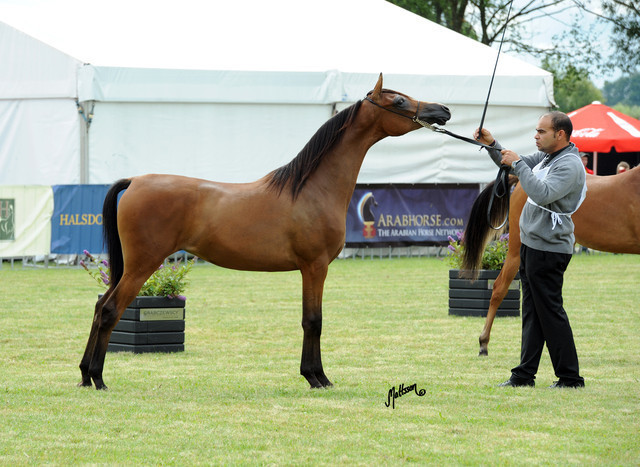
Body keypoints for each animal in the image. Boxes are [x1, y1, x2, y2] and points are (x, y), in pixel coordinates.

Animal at [78, 74, 451, 390]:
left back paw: (84, 375)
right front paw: (317, 377)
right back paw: (98, 378)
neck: (311, 188)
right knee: (110, 310)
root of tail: (135, 181)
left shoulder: (311, 268)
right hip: (142, 264)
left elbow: (311, 320)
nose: (443, 110)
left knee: (99, 307)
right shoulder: (315, 267)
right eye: (399, 100)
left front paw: (314, 375)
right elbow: (313, 321)